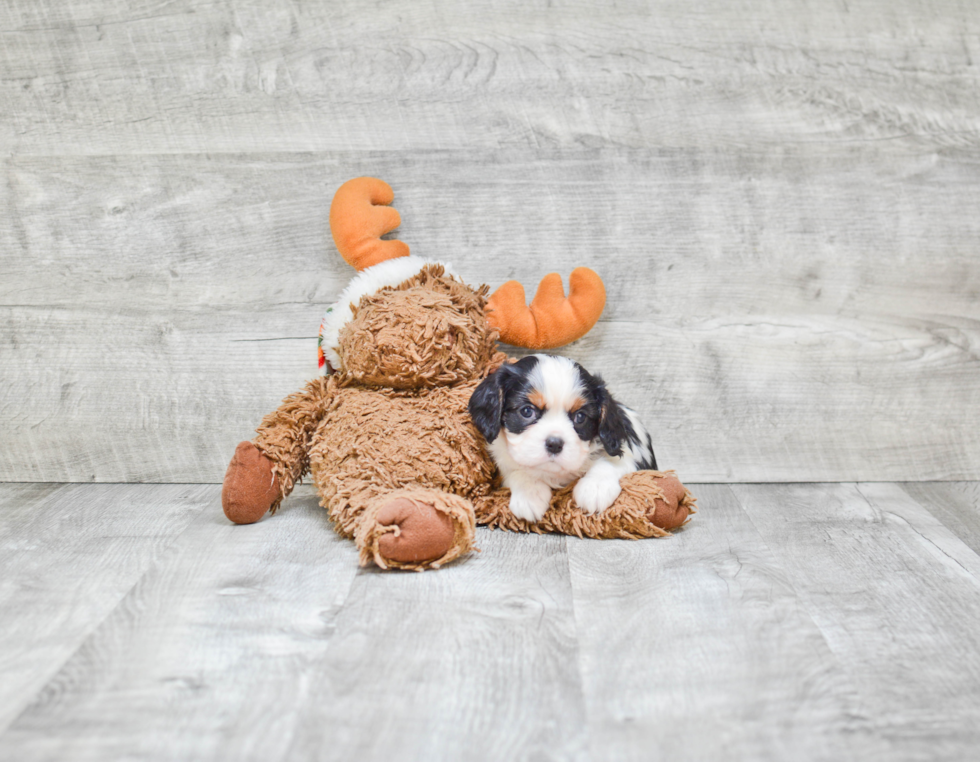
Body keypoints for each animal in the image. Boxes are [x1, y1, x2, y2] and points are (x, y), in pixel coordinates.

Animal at [468, 354, 660, 524]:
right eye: (527, 411)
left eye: (580, 417)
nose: (554, 444)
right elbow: (518, 471)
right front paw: (530, 493)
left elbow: (610, 461)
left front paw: (595, 488)